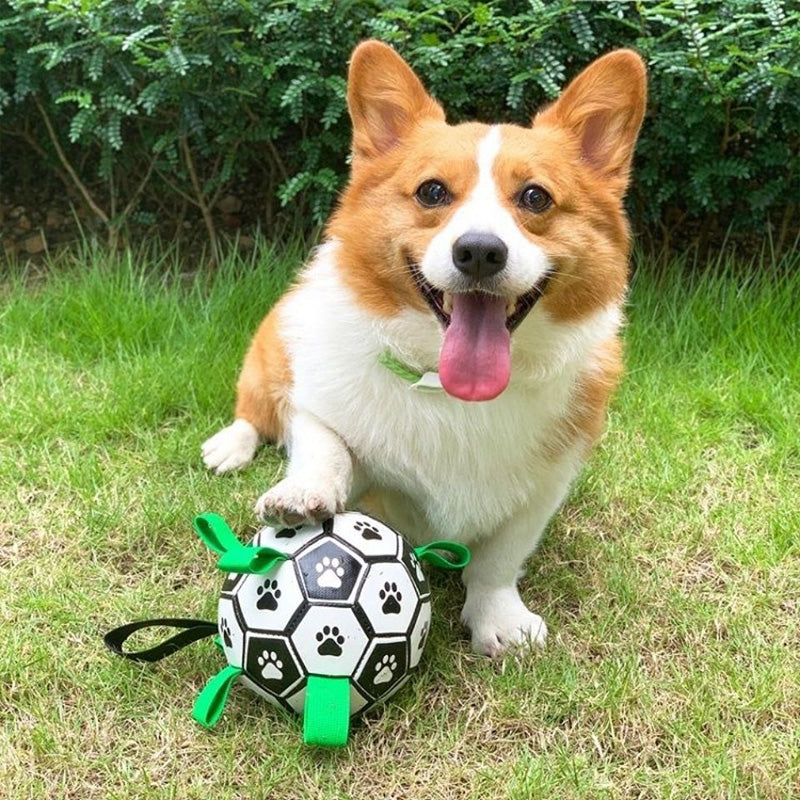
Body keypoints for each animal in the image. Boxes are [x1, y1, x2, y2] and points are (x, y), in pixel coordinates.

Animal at [203, 40, 648, 656]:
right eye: (432, 191)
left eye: (535, 197)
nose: (480, 251)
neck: (452, 392)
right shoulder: (316, 409)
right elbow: (327, 447)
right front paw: (305, 493)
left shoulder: (545, 488)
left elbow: (499, 558)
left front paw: (499, 620)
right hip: (271, 354)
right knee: (255, 410)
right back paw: (230, 445)